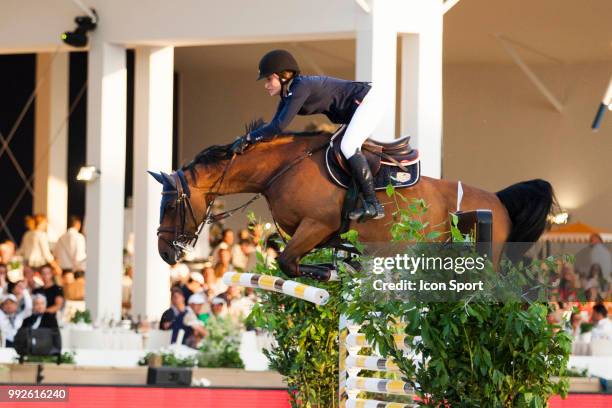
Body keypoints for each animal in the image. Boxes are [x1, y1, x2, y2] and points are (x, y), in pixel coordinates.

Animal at [148, 125, 556, 280]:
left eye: (171, 206)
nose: (165, 253)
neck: (280, 169)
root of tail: (497, 200)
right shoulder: (306, 233)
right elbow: (280, 251)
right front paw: (338, 266)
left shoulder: (317, 226)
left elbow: (287, 261)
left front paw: (330, 272)